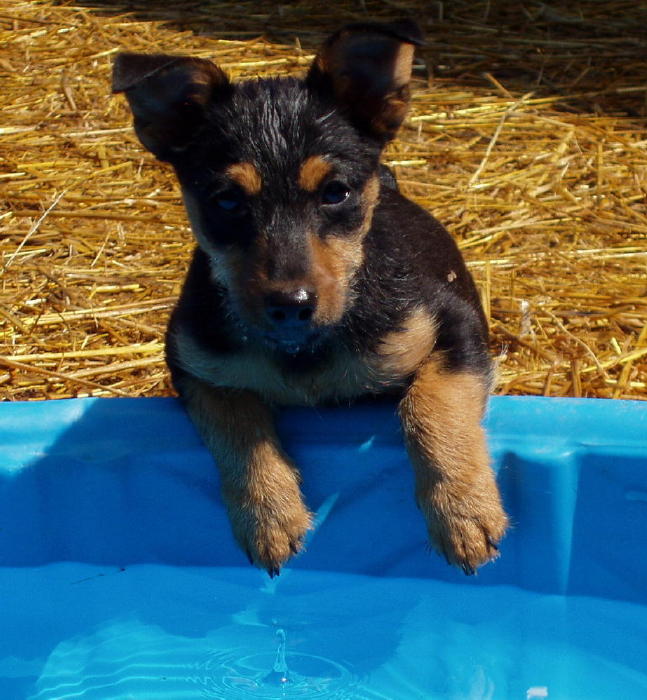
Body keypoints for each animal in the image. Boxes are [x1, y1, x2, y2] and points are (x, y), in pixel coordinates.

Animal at [114, 23, 508, 580]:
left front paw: (462, 511)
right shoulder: (196, 366)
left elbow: (432, 405)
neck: (304, 348)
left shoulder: (455, 325)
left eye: (336, 192)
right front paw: (269, 515)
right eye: (226, 201)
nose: (291, 304)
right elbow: (238, 427)